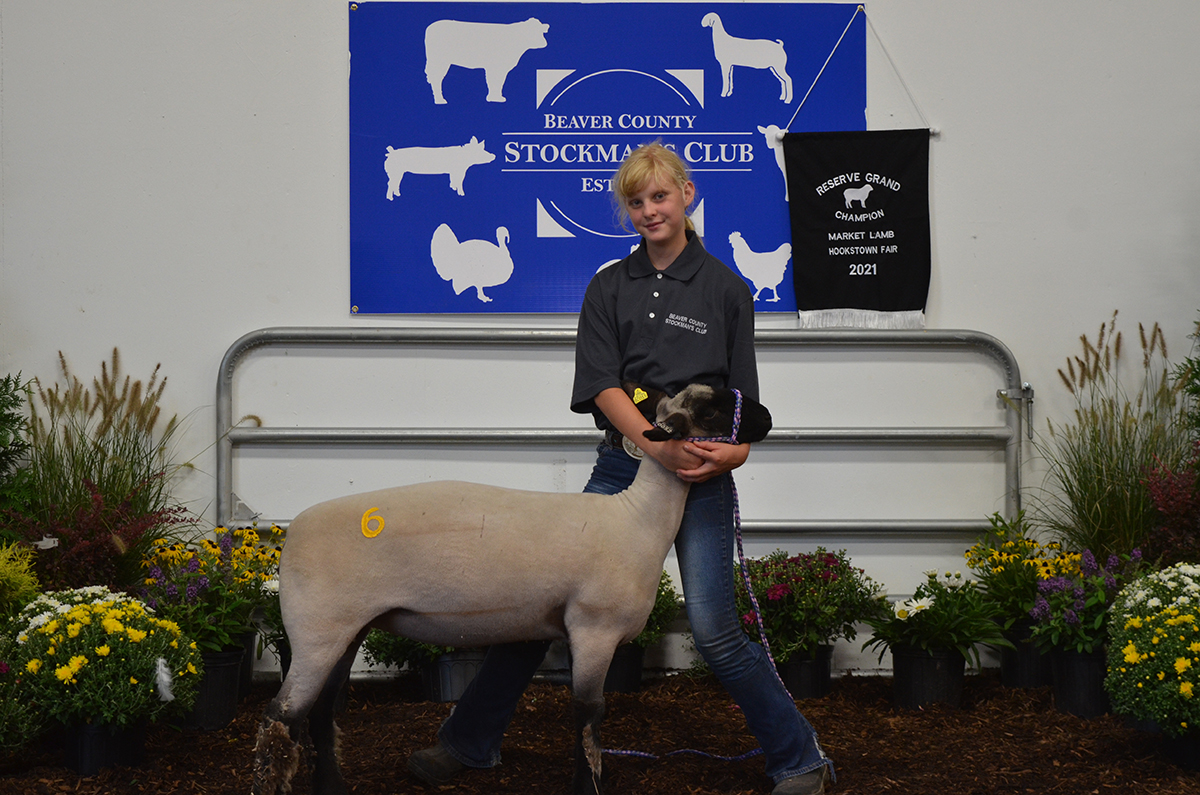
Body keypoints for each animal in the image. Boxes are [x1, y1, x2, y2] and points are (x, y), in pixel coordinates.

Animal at [251, 382, 773, 795]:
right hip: (317, 629)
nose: (766, 418)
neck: (637, 519)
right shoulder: (594, 629)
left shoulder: (579, 629)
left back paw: (332, 787)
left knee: (319, 712)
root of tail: (292, 535)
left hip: (344, 631)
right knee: (278, 720)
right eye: (710, 410)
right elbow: (589, 716)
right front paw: (587, 787)